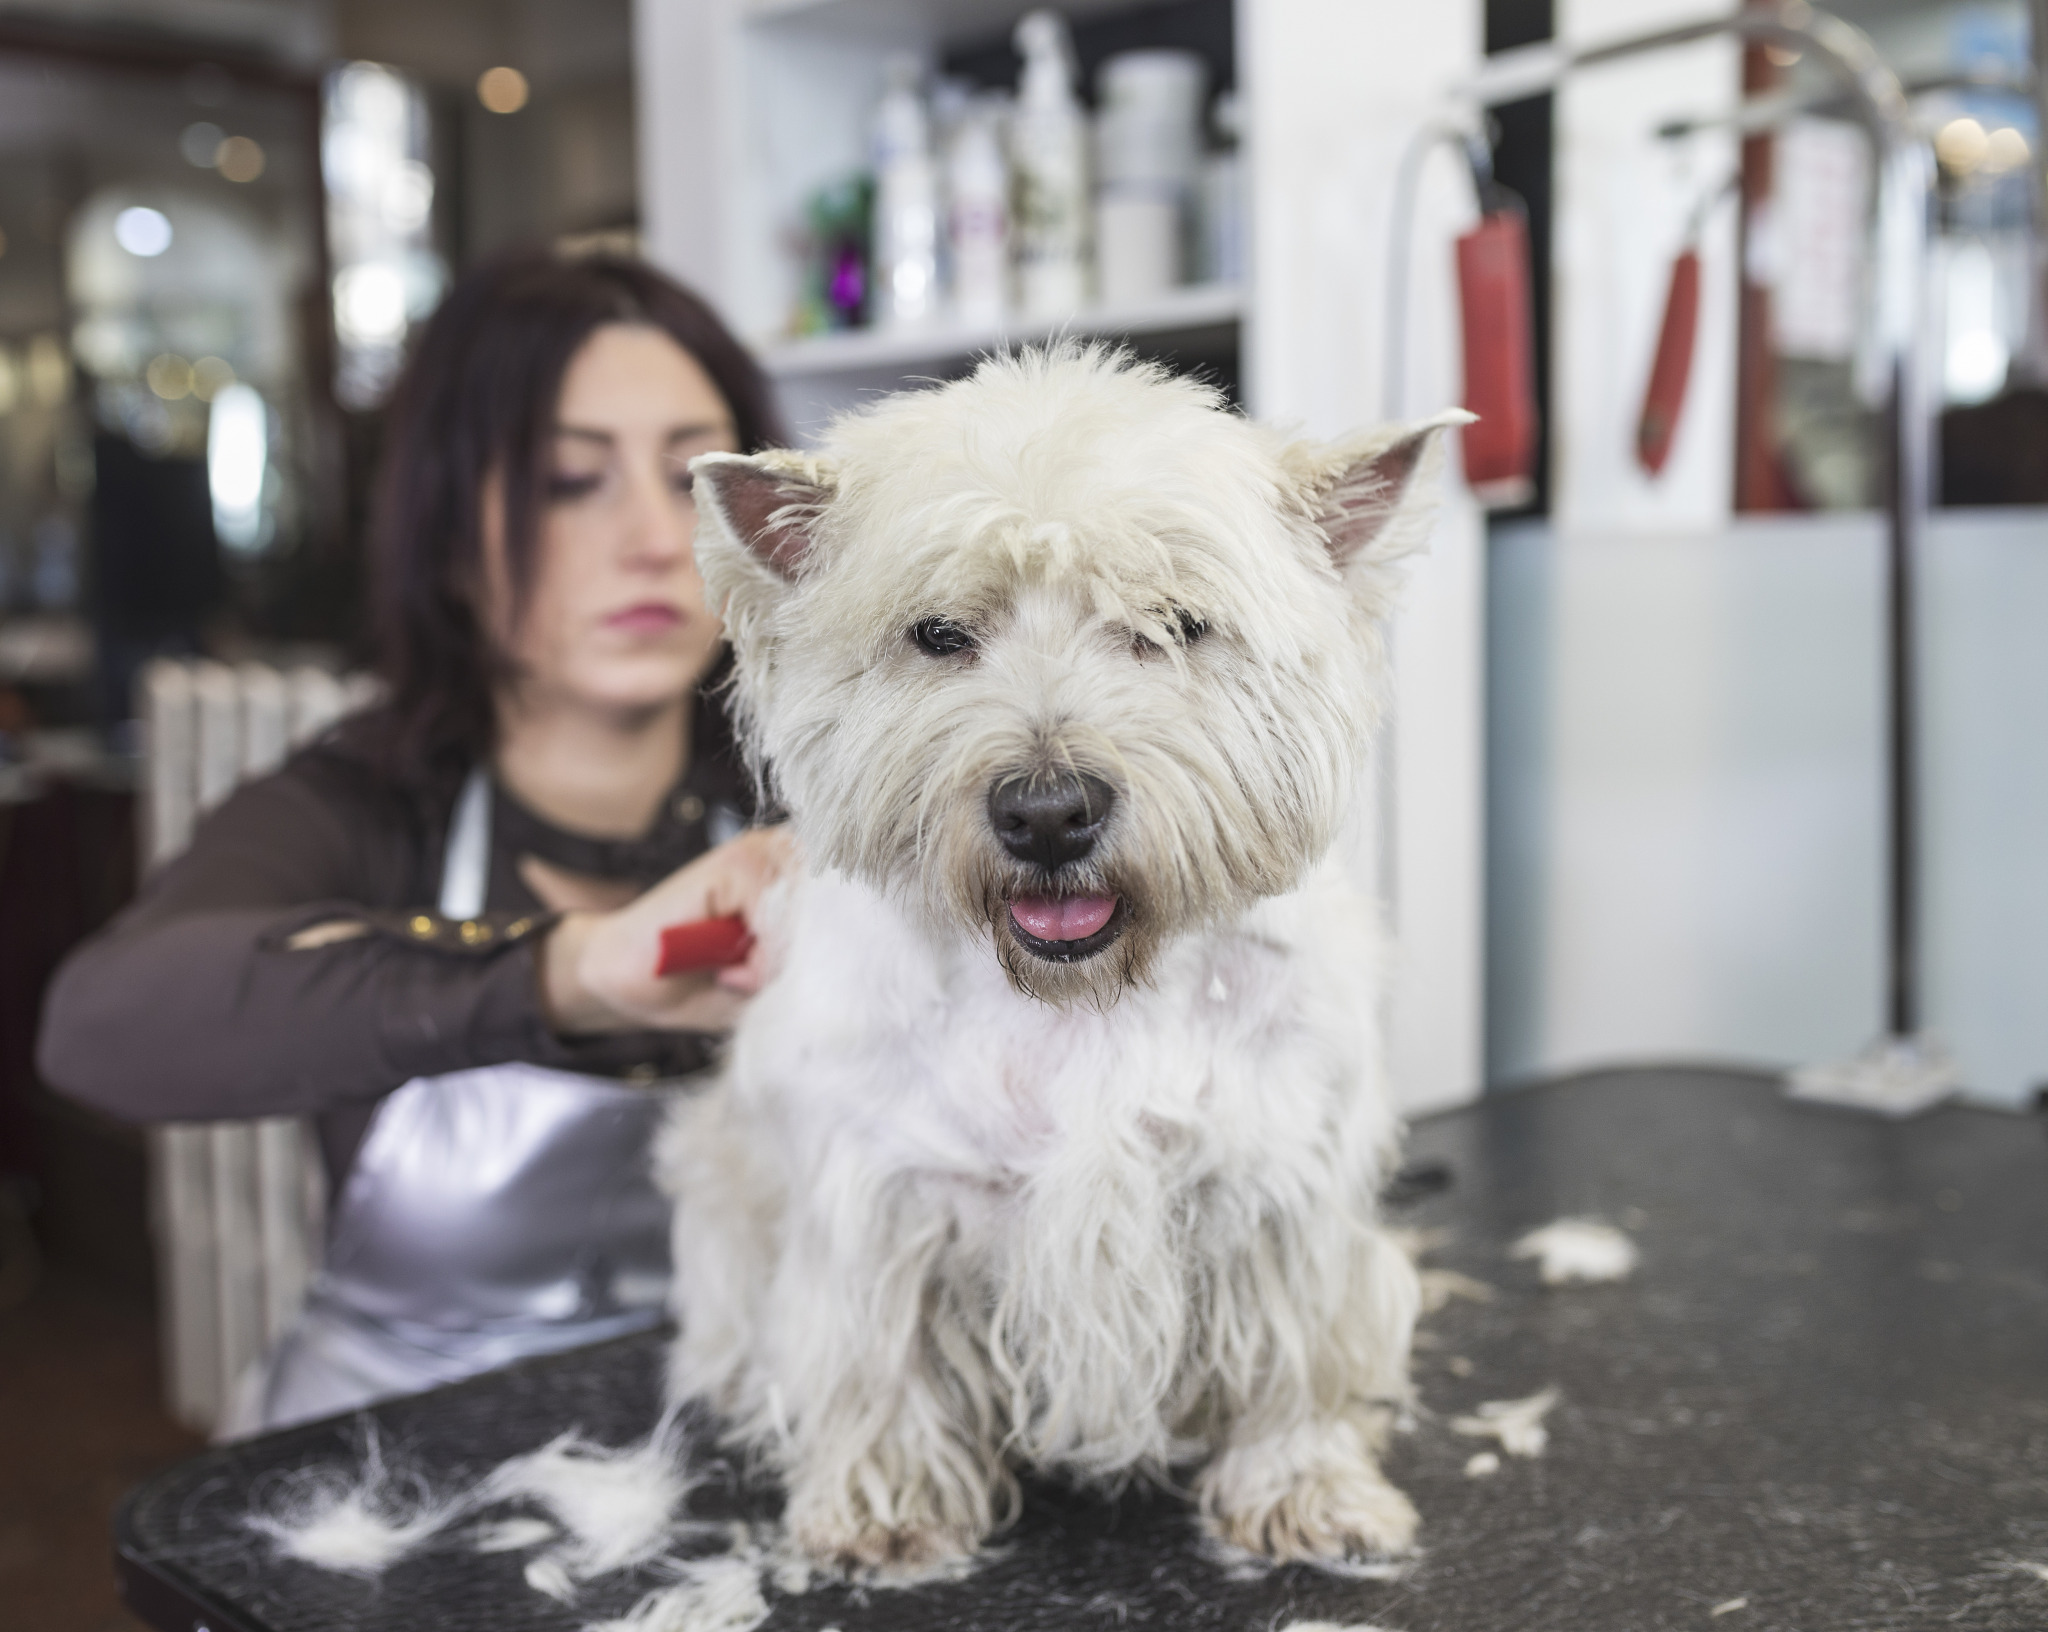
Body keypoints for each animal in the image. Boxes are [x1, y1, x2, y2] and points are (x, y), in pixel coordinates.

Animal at [659, 344, 1458, 1564]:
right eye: (939, 634)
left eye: (1176, 624)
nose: (1045, 812)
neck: (1079, 997)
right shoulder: (884, 1196)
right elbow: (877, 1353)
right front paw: (888, 1509)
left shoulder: (1277, 1190)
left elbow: (1292, 1355)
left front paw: (1305, 1490)